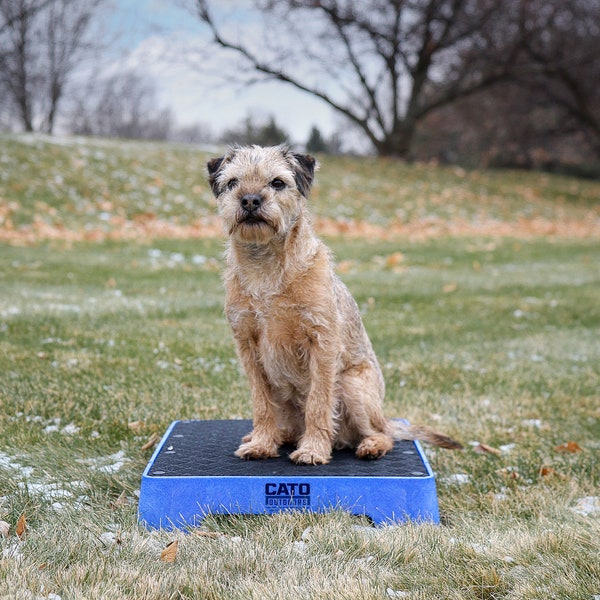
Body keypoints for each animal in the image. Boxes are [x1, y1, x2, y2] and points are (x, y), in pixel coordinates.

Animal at [205, 144, 460, 464]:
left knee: (383, 433)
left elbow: (318, 401)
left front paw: (313, 449)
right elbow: (262, 403)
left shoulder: (322, 342)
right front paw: (261, 443)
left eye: (277, 183)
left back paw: (370, 446)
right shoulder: (247, 346)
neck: (265, 266)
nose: (250, 200)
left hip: (353, 387)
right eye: (232, 183)